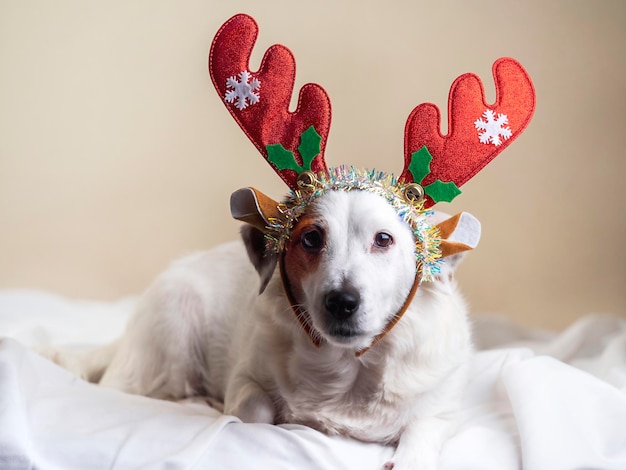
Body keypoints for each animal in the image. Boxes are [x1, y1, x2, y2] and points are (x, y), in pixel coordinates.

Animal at [47, 184, 478, 470]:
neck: (347, 371)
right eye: (311, 238)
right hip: (173, 327)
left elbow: (421, 435)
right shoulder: (245, 376)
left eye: (383, 239)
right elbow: (255, 411)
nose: (341, 301)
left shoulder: (443, 412)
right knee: (147, 390)